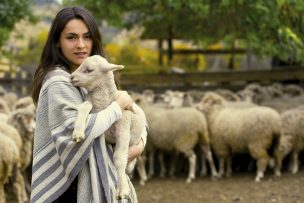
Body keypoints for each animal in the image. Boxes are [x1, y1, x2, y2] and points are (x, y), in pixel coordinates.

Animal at [71, 54, 147, 199]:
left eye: (89, 70)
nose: (71, 77)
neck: (104, 103)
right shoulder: (92, 107)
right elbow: (84, 106)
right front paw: (77, 132)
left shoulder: (123, 130)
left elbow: (119, 158)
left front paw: (122, 190)